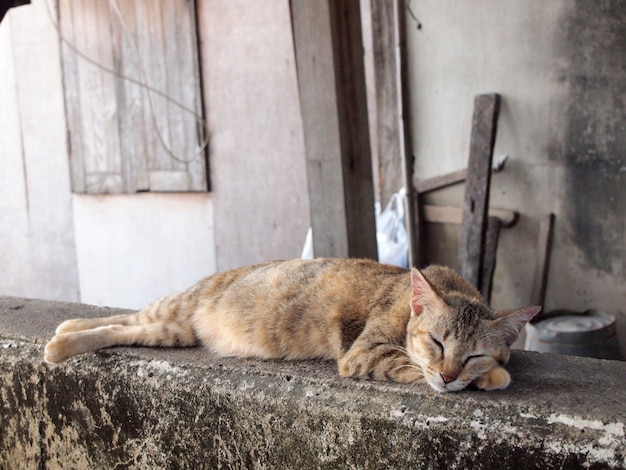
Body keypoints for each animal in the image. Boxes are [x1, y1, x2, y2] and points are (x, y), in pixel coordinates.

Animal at [46, 258, 540, 392]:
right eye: (436, 342)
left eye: (473, 353)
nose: (449, 374)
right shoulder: (365, 351)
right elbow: (409, 365)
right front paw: (491, 378)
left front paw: (488, 374)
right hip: (172, 314)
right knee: (119, 322)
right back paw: (58, 345)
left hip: (170, 330)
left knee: (121, 324)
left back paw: (64, 328)